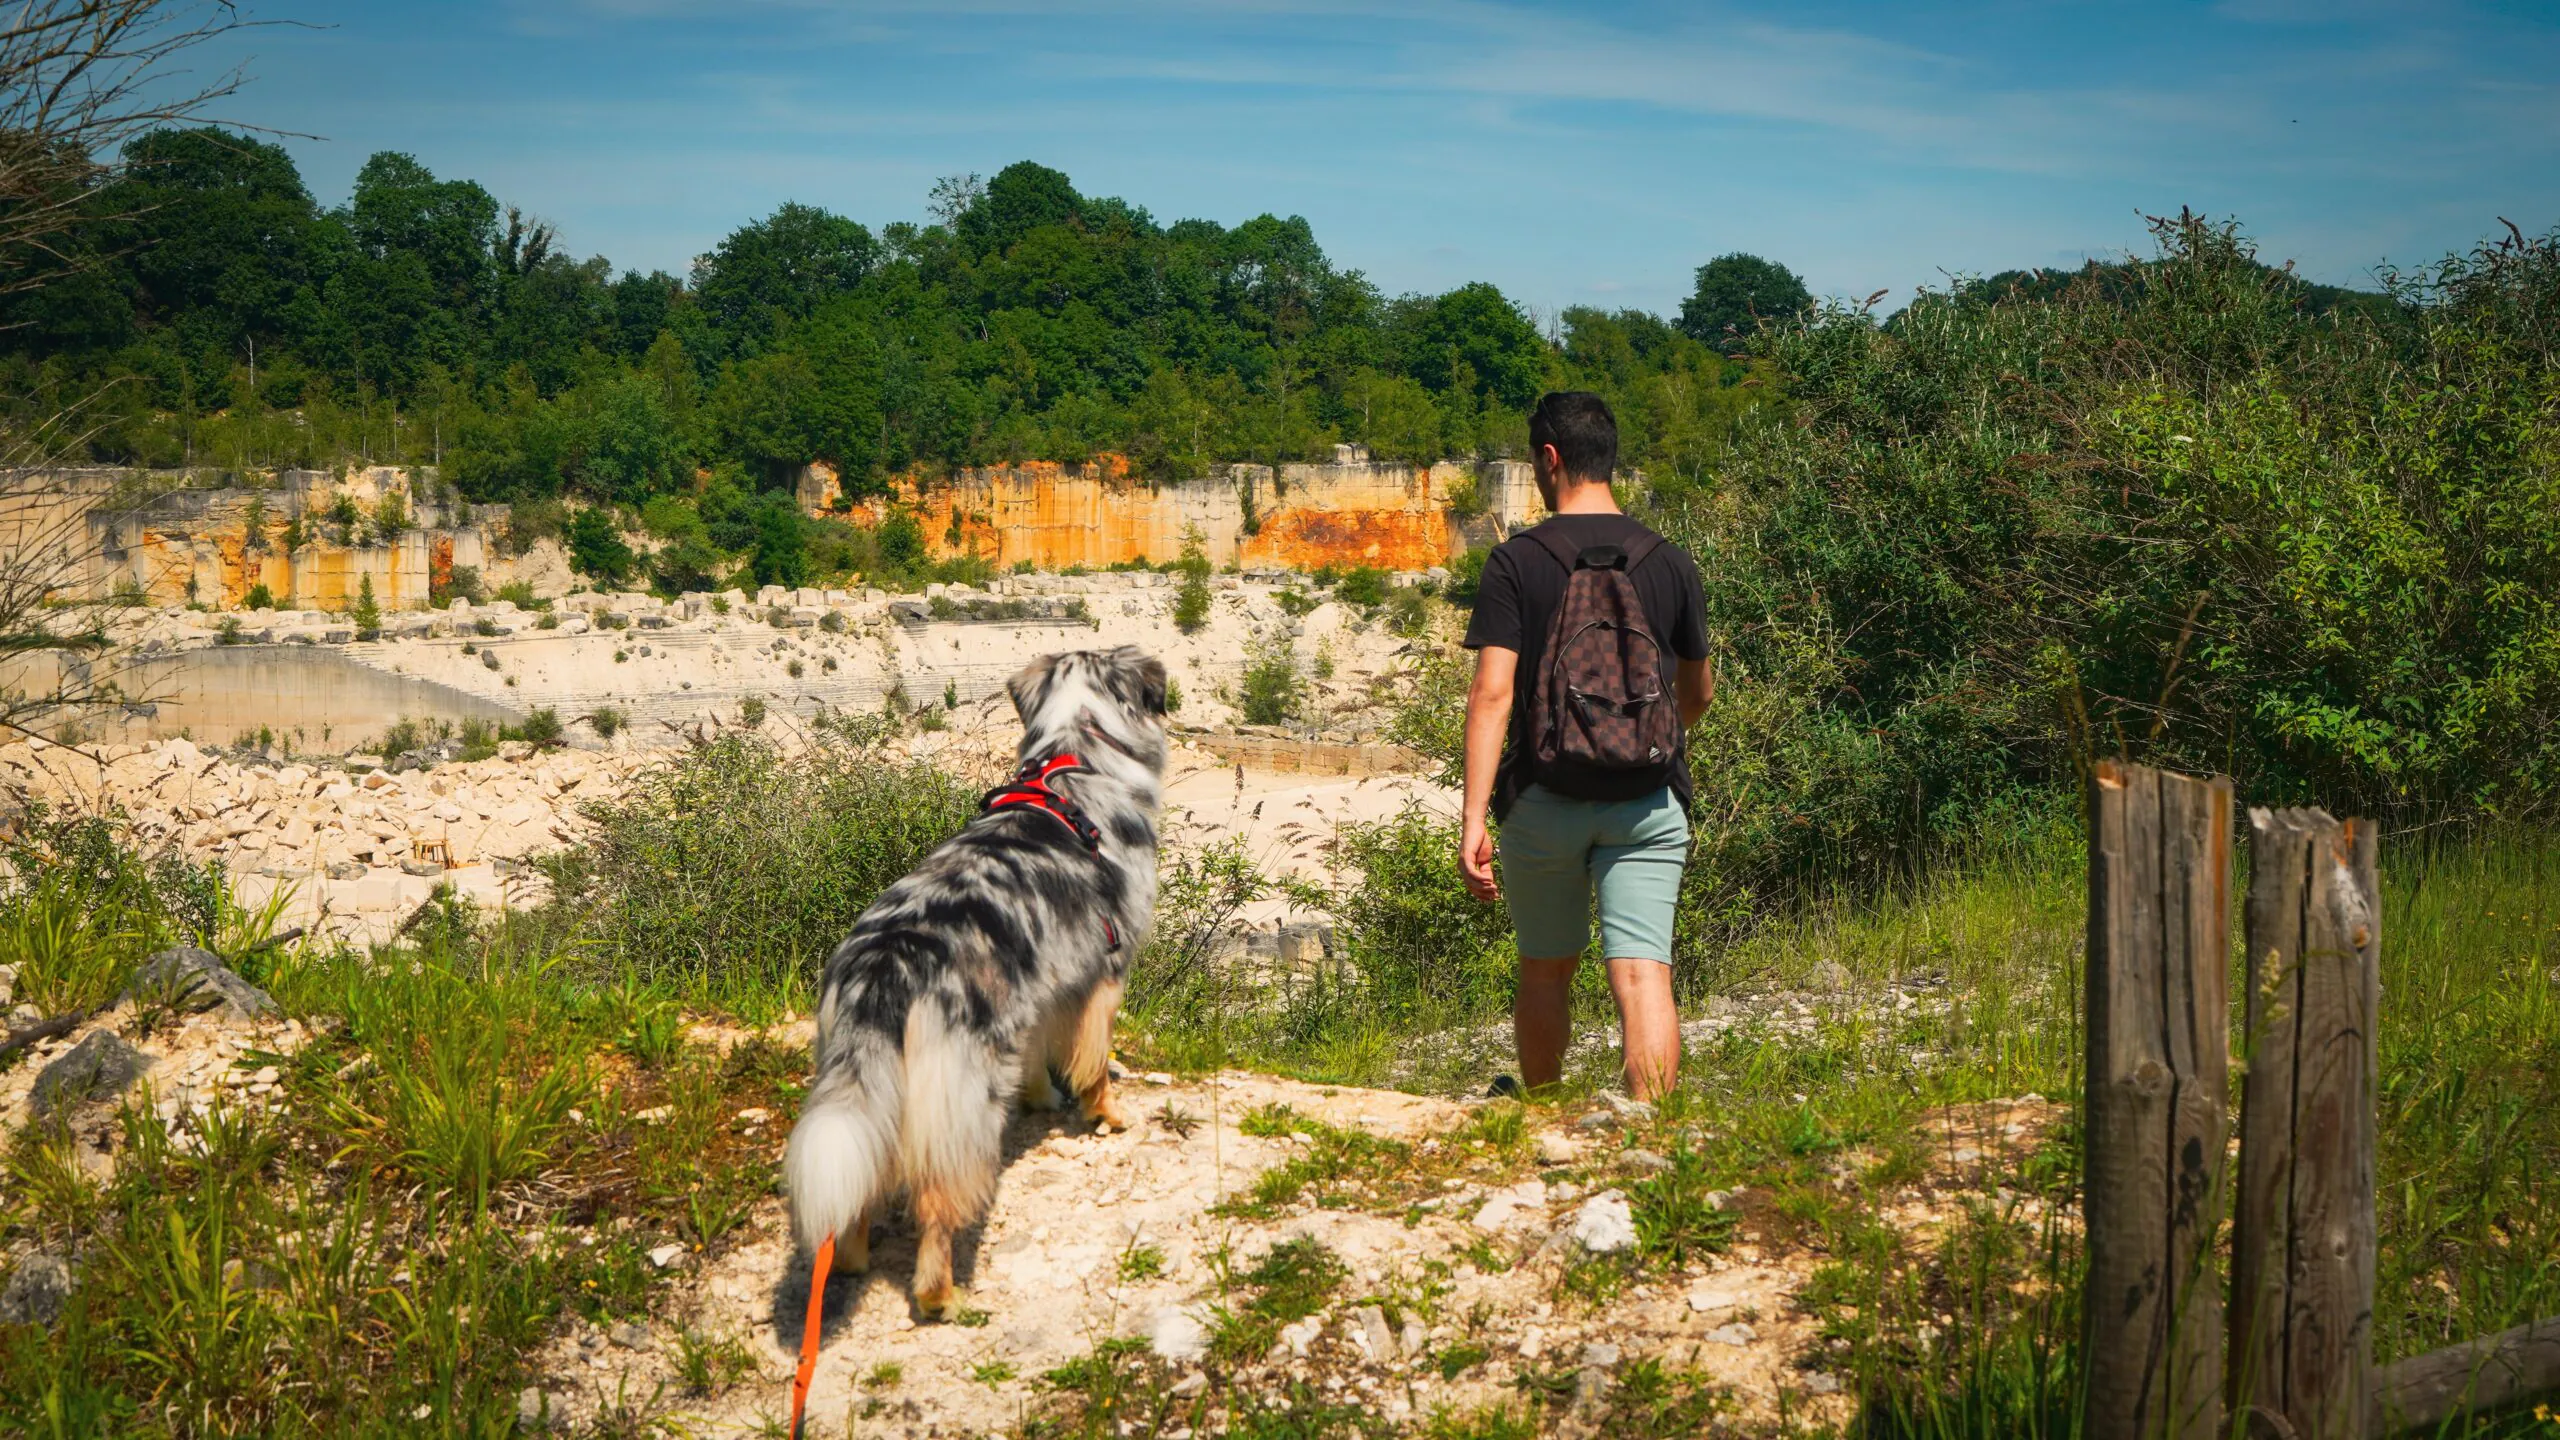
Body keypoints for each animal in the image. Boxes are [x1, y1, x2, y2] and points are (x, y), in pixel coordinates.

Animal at [778, 645, 1172, 1322]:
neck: (1076, 756)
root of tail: (887, 964)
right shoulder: (1105, 971)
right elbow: (1095, 1062)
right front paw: (1107, 1115)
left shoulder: (1042, 986)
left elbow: (1038, 1057)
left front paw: (1043, 1098)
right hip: (963, 1101)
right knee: (937, 1206)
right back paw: (943, 1297)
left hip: (860, 1079)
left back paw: (851, 1257)